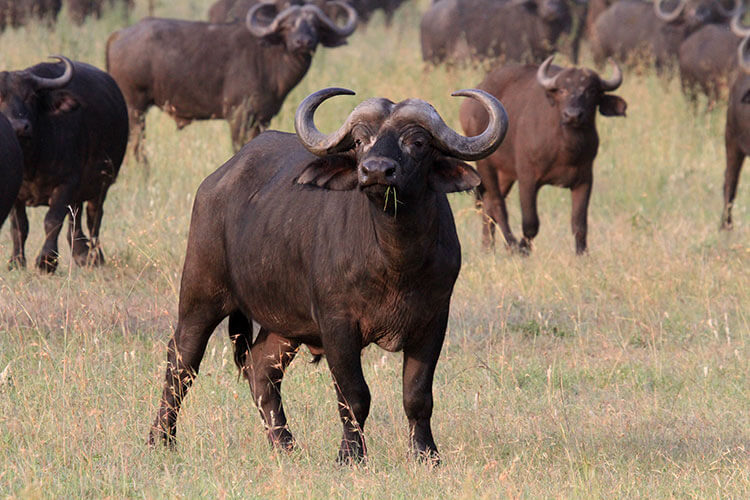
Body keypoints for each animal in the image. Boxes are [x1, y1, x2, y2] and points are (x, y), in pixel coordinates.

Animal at [0, 56, 129, 274]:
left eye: (31, 96)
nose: (19, 127)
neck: (31, 161)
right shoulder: (15, 193)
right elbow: (19, 227)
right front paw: (16, 261)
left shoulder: (66, 183)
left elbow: (52, 220)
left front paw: (46, 261)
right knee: (75, 220)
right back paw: (81, 253)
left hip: (102, 184)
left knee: (93, 218)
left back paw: (94, 256)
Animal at [106, 0, 362, 161]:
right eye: (288, 25)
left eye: (315, 25)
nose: (303, 42)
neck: (269, 57)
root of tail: (119, 34)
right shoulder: (238, 115)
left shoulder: (262, 118)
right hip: (135, 107)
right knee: (135, 145)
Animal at [147, 87, 512, 464]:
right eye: (360, 141)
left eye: (418, 142)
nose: (376, 170)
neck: (396, 260)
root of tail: (215, 183)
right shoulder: (338, 325)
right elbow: (354, 395)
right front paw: (350, 455)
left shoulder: (433, 321)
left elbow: (417, 395)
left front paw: (427, 455)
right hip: (200, 295)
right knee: (181, 362)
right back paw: (162, 439)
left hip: (285, 325)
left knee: (261, 369)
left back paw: (285, 445)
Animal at [464, 55, 628, 254]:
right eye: (563, 90)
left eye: (591, 90)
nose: (573, 115)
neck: (566, 150)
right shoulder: (527, 178)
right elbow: (530, 223)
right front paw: (523, 249)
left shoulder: (584, 180)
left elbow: (579, 224)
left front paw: (582, 254)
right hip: (486, 166)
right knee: (496, 203)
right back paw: (510, 245)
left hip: (505, 174)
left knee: (487, 205)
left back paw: (487, 247)